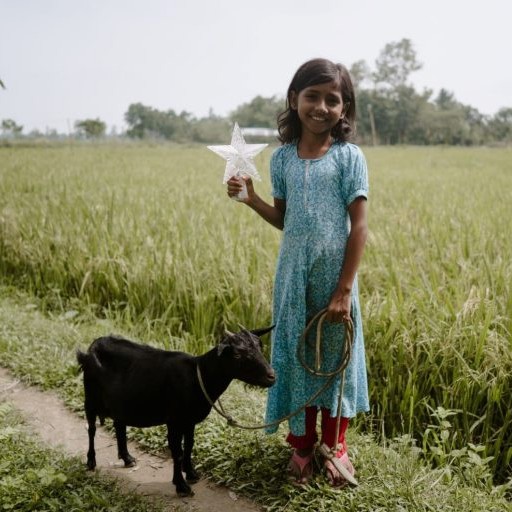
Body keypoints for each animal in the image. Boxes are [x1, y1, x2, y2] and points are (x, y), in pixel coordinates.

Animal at [76, 326, 274, 498]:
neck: (198, 376)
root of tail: (92, 347)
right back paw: (91, 462)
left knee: (119, 424)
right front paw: (181, 486)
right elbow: (177, 452)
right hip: (90, 398)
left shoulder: (189, 420)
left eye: (260, 347)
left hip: (121, 402)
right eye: (238, 354)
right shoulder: (174, 420)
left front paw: (191, 473)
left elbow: (189, 445)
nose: (272, 376)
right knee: (91, 429)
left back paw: (127, 458)